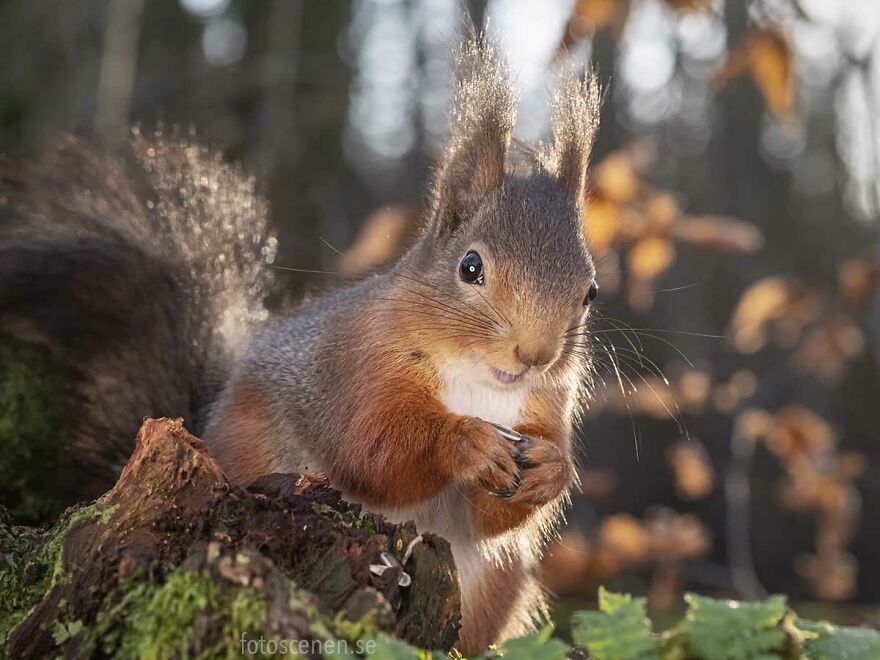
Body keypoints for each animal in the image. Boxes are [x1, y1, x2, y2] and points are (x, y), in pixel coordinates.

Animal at [0, 35, 600, 653]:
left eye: (590, 293)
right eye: (471, 267)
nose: (535, 355)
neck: (476, 384)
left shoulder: (544, 408)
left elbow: (493, 518)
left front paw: (551, 470)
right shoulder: (352, 370)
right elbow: (371, 448)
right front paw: (466, 442)